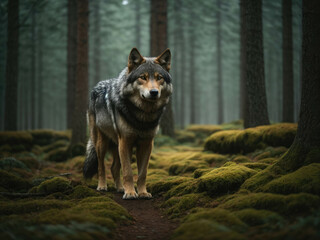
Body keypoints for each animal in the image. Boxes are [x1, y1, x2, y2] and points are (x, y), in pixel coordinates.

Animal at [83, 47, 172, 200]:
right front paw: (130, 193)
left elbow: (142, 173)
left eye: (159, 77)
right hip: (102, 143)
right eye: (143, 77)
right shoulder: (126, 141)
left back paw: (120, 188)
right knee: (101, 167)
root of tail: (96, 87)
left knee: (114, 168)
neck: (143, 116)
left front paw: (142, 193)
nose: (154, 92)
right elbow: (128, 172)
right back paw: (102, 186)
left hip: (117, 145)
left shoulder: (147, 144)